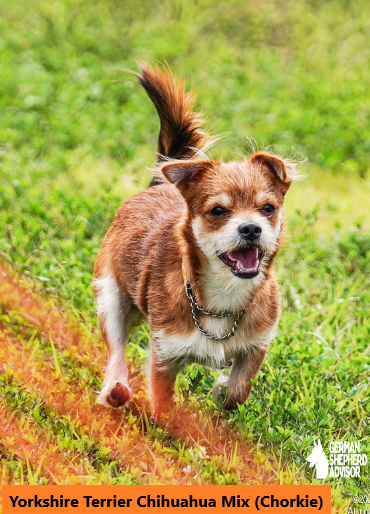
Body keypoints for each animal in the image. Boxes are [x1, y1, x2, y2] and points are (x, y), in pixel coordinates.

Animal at [94, 64, 300, 416]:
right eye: (218, 211)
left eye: (268, 209)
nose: (251, 229)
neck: (223, 297)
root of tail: (159, 183)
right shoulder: (164, 354)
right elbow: (163, 404)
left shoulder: (258, 343)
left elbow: (238, 391)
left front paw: (221, 390)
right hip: (111, 296)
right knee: (116, 345)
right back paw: (115, 388)